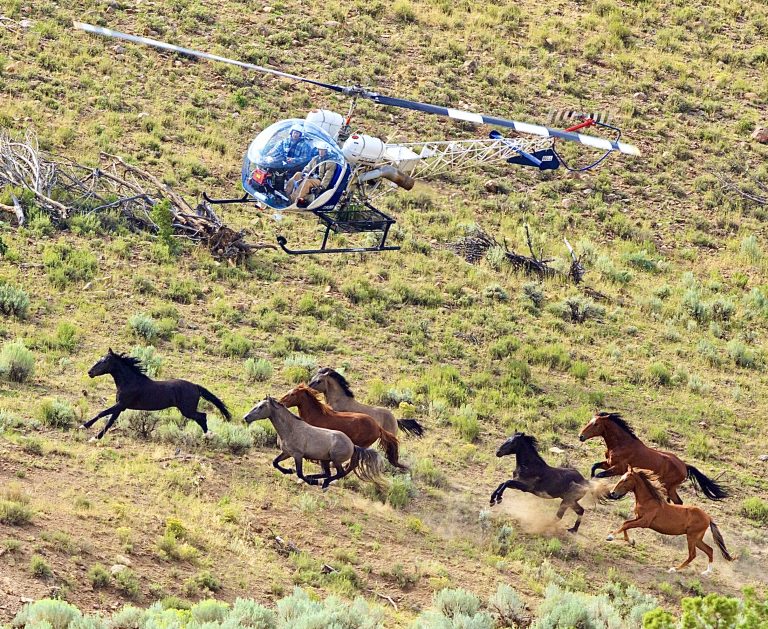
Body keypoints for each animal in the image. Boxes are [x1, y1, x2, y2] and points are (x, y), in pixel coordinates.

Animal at [82, 348, 231, 440]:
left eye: (104, 361)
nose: (90, 372)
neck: (130, 381)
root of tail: (196, 386)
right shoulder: (121, 407)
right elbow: (109, 420)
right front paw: (93, 435)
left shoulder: (121, 404)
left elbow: (102, 414)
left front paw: (87, 429)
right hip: (188, 410)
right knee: (201, 417)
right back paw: (208, 435)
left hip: (187, 410)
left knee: (202, 416)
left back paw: (208, 435)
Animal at [243, 397, 385, 490]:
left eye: (261, 406)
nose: (246, 417)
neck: (291, 429)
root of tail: (353, 445)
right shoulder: (286, 453)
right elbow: (275, 462)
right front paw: (289, 471)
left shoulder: (298, 455)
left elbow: (299, 473)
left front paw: (310, 481)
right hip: (324, 460)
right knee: (328, 473)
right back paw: (315, 478)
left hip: (335, 459)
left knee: (339, 473)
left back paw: (323, 483)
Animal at [579, 412, 728, 504]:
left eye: (596, 424)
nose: (581, 436)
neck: (622, 444)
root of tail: (685, 466)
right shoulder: (608, 463)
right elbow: (594, 468)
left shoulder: (618, 468)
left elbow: (599, 475)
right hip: (669, 488)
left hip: (668, 486)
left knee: (677, 502)